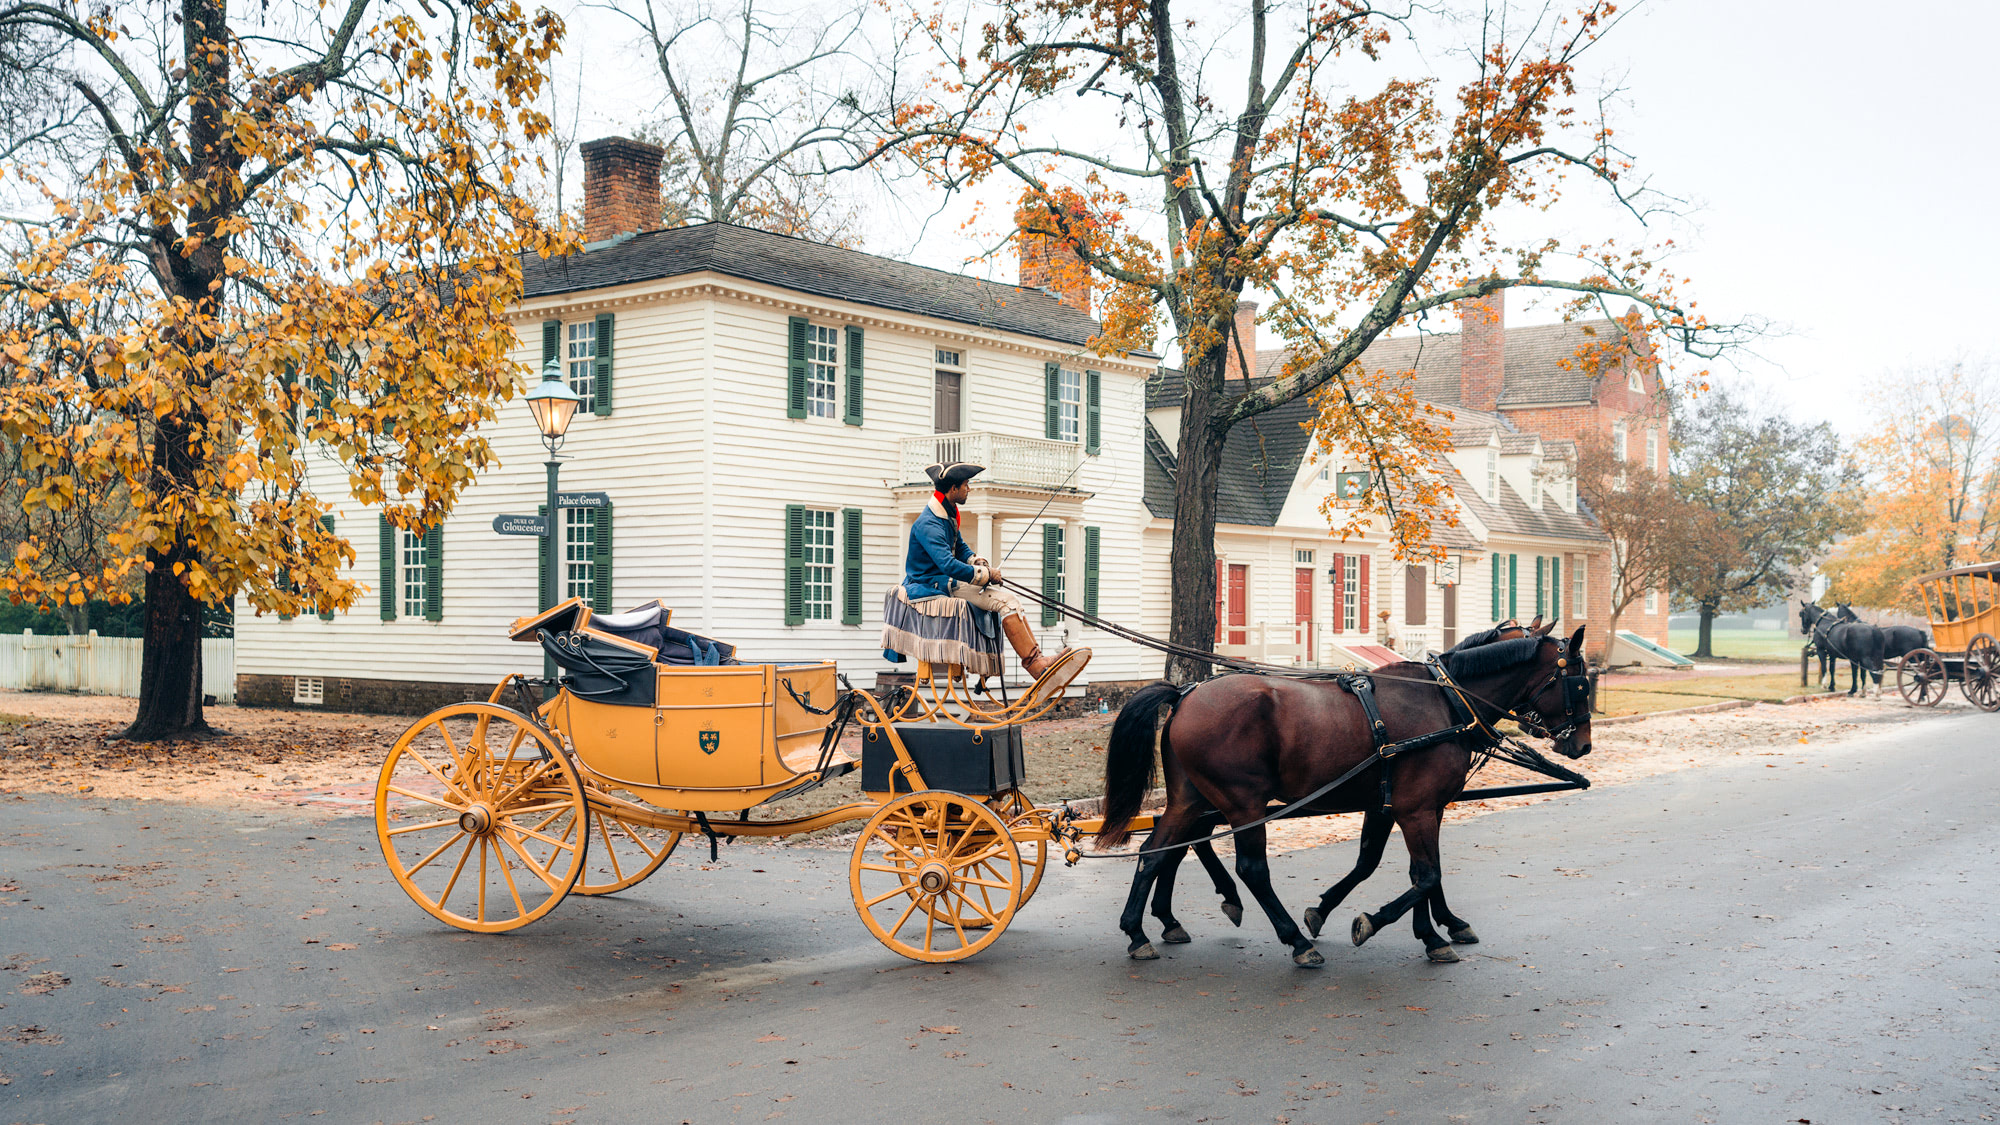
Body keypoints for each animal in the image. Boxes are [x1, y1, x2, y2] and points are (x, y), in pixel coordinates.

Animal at [1096, 616, 1592, 960]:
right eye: (1581, 683)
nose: (1583, 744)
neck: (1447, 701)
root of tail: (1186, 694)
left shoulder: (1405, 805)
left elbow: (1407, 869)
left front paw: (1436, 930)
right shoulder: (1414, 808)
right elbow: (1425, 874)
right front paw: (1379, 923)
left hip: (1190, 798)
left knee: (1158, 851)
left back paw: (1140, 929)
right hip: (1243, 802)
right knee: (1250, 869)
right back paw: (1295, 941)